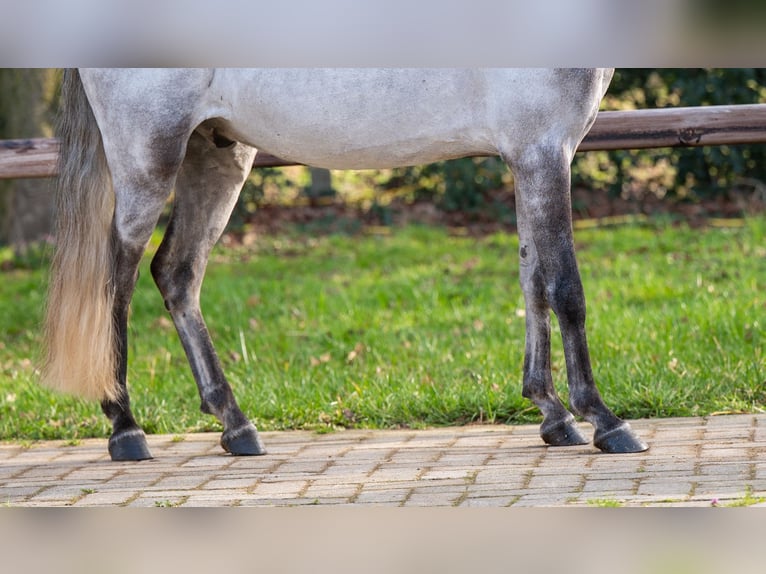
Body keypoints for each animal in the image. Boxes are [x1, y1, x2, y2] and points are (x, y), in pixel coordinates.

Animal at [43, 68, 648, 461]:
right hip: (148, 160)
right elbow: (565, 289)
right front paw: (603, 419)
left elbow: (532, 282)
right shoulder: (545, 151)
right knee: (115, 283)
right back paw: (126, 428)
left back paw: (236, 426)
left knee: (177, 273)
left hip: (216, 154)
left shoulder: (527, 157)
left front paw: (552, 414)